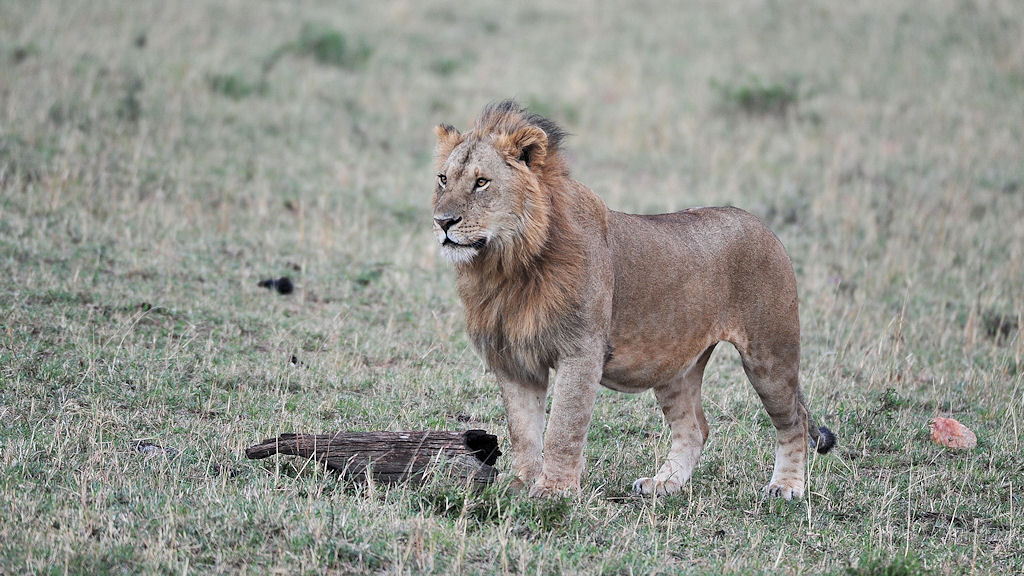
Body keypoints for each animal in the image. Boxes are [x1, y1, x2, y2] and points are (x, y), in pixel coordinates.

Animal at [431, 100, 835, 499]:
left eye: (482, 182)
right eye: (443, 179)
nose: (442, 222)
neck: (506, 265)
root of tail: (763, 225)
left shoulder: (581, 351)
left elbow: (563, 426)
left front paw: (553, 492)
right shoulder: (513, 359)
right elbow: (524, 431)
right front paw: (519, 485)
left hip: (769, 354)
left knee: (795, 420)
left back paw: (786, 487)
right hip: (675, 365)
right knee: (695, 428)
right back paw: (664, 484)